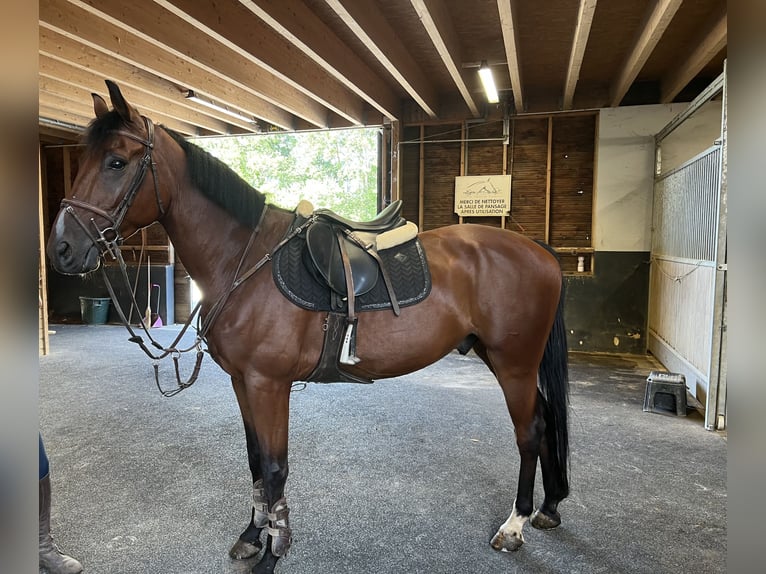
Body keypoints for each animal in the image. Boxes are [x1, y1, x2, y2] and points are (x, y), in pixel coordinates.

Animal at [46, 82, 568, 574]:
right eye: (84, 160)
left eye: (116, 162)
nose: (62, 249)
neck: (242, 260)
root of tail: (539, 251)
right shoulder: (242, 382)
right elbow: (255, 460)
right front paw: (253, 535)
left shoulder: (269, 384)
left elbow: (276, 467)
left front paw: (272, 554)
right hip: (502, 359)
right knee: (545, 423)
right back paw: (548, 507)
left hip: (514, 364)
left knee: (530, 431)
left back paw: (515, 525)